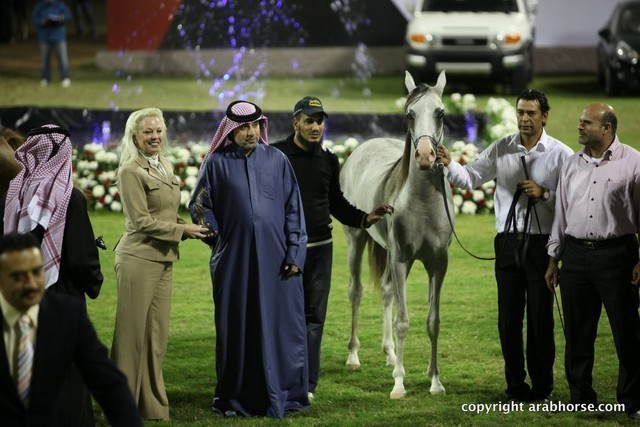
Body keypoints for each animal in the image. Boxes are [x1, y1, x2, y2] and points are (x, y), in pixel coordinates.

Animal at [339, 70, 453, 399]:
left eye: (440, 112)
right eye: (410, 114)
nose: (425, 156)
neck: (424, 203)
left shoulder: (438, 264)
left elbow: (433, 321)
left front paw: (435, 381)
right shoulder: (402, 260)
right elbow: (403, 322)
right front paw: (399, 385)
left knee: (387, 292)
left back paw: (390, 355)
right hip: (356, 241)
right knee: (356, 291)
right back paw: (354, 356)